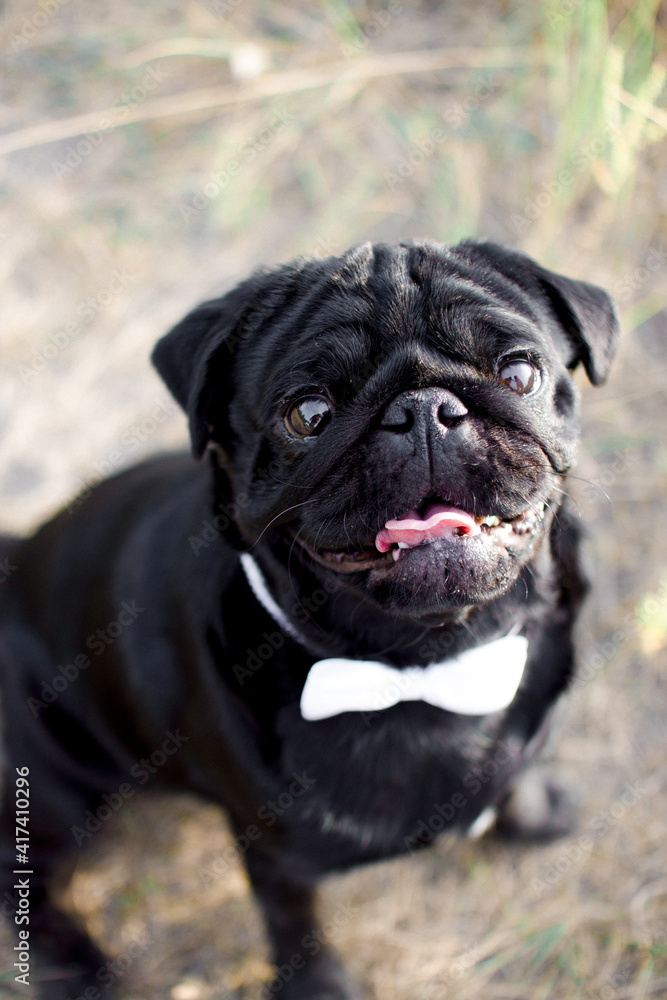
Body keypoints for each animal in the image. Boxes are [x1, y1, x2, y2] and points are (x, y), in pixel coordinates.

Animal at [0, 242, 620, 1000]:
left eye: (520, 373)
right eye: (309, 413)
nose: (422, 410)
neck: (428, 664)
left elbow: (520, 768)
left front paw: (533, 811)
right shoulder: (275, 858)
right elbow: (296, 930)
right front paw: (319, 989)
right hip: (55, 793)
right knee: (24, 876)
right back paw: (77, 967)